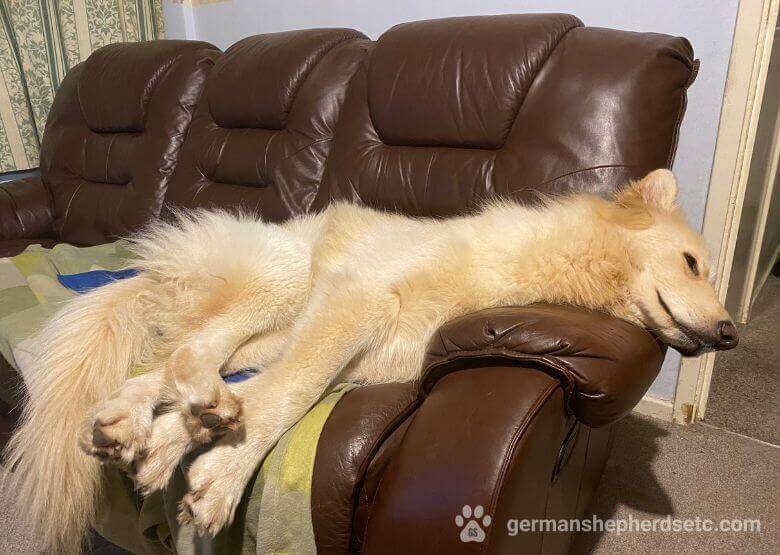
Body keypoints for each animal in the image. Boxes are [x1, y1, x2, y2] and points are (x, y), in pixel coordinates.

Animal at [4, 169, 736, 552]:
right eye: (692, 262)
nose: (730, 333)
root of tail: (150, 267)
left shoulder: (366, 352)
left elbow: (276, 392)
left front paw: (180, 446)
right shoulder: (358, 300)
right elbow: (292, 393)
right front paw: (225, 476)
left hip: (276, 324)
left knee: (169, 365)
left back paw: (139, 429)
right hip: (284, 284)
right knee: (191, 351)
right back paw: (189, 409)